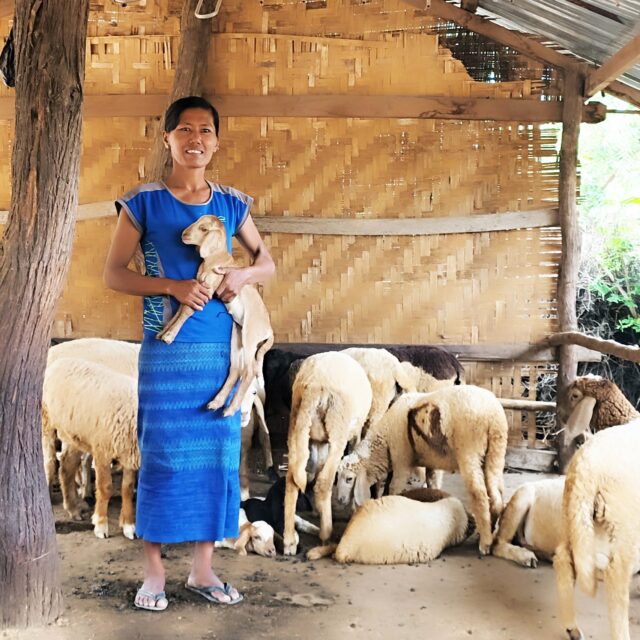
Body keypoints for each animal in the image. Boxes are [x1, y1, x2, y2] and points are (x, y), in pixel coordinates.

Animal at [42, 357, 139, 540]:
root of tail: (59, 361)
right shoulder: (102, 451)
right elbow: (105, 487)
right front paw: (101, 525)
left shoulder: (128, 453)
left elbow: (127, 489)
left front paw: (129, 526)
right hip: (47, 422)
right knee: (51, 462)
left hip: (74, 435)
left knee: (66, 467)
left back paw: (73, 509)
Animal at [156, 215, 274, 417]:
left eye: (204, 229)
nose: (183, 234)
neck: (215, 258)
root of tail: (269, 330)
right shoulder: (196, 288)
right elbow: (182, 307)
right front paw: (163, 332)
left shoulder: (208, 290)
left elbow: (187, 311)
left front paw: (170, 336)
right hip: (237, 335)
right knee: (236, 369)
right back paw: (217, 403)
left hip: (250, 335)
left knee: (249, 371)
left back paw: (231, 408)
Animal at [283, 352, 372, 555]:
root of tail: (316, 385)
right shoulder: (353, 434)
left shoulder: (318, 441)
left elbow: (315, 467)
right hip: (338, 427)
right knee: (324, 483)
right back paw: (326, 534)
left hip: (297, 423)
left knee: (292, 478)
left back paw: (289, 540)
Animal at [337, 386, 508, 555]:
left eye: (349, 479)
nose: (339, 500)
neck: (385, 440)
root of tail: (492, 416)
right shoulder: (432, 462)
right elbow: (433, 483)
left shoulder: (402, 460)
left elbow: (394, 487)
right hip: (495, 452)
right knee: (496, 494)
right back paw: (489, 531)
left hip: (469, 452)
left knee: (479, 494)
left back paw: (485, 543)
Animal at [553, 420, 640, 640]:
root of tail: (586, 468)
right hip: (624, 526)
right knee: (617, 580)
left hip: (574, 519)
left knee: (563, 560)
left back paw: (572, 628)